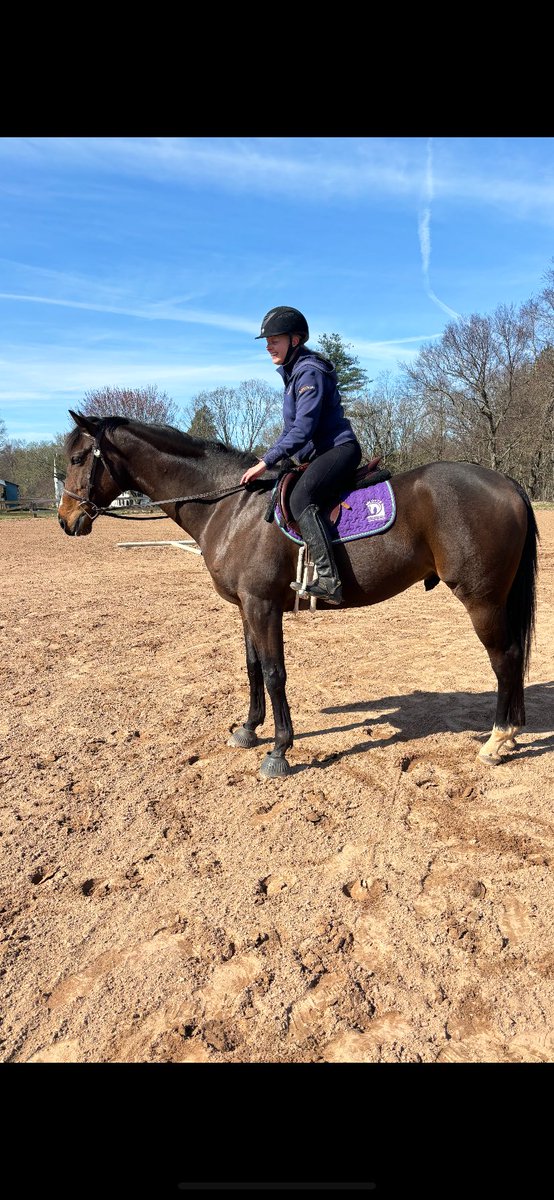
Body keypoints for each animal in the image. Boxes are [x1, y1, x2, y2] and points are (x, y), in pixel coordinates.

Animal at [58, 412, 539, 777]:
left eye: (79, 457)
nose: (65, 520)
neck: (234, 508)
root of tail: (506, 482)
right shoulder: (246, 607)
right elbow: (252, 667)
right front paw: (249, 730)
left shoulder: (263, 606)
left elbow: (275, 674)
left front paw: (279, 750)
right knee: (512, 658)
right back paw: (511, 735)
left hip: (482, 600)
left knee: (505, 659)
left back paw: (498, 740)